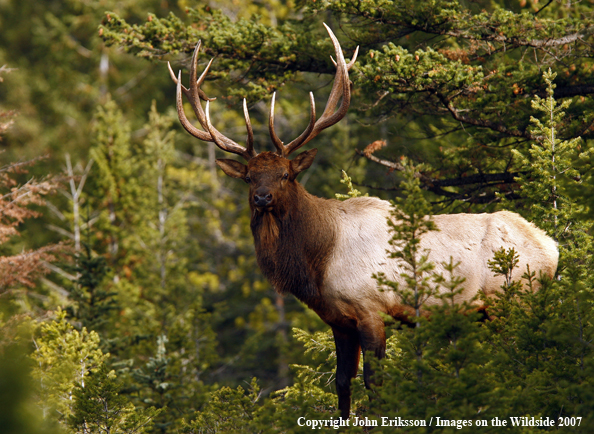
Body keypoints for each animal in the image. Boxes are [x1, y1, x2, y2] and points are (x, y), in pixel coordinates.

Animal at [166, 24, 556, 420]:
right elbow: (342, 383)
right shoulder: (339, 321)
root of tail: (551, 248)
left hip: (513, 299)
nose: (262, 198)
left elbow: (375, 382)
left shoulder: (371, 307)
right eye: (248, 177)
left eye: (286, 174)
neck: (317, 261)